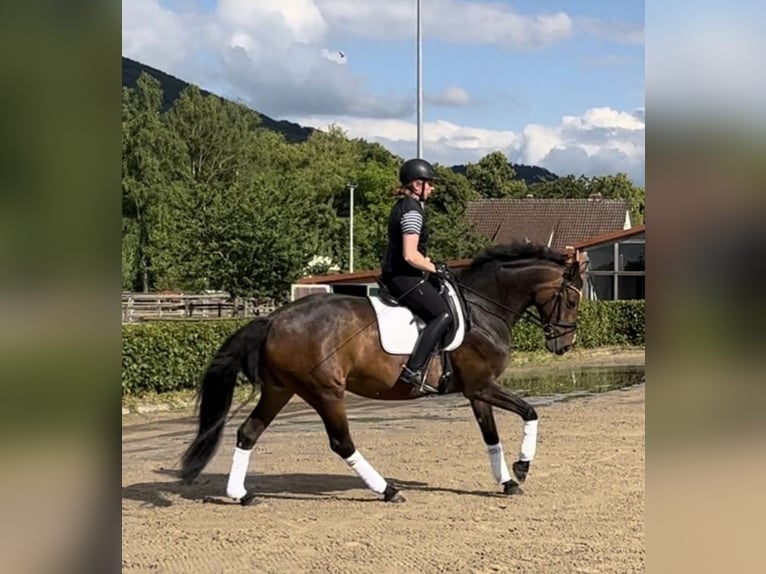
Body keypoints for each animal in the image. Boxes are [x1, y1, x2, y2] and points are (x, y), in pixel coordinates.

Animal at [182, 241, 588, 506]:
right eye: (571, 299)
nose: (563, 345)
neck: (482, 309)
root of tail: (272, 319)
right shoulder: (483, 386)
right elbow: (530, 412)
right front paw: (521, 467)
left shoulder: (477, 390)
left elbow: (492, 437)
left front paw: (507, 481)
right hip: (325, 391)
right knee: (341, 443)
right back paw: (388, 490)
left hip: (280, 390)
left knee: (248, 432)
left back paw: (241, 494)